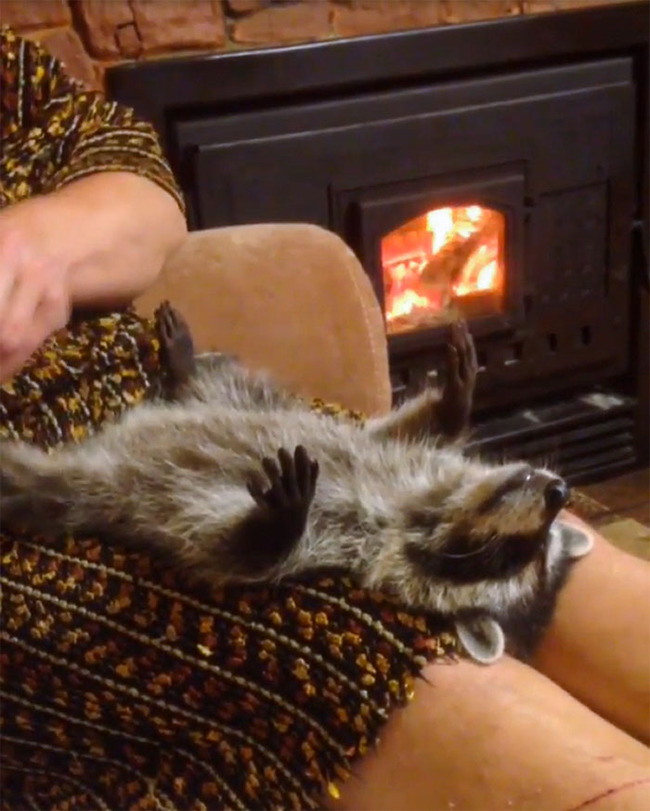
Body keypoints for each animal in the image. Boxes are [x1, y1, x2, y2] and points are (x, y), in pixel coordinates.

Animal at [0, 304, 592, 664]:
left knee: (48, 486)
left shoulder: (345, 542)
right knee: (225, 388)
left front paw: (279, 526)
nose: (558, 495)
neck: (418, 509)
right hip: (247, 405)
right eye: (532, 547)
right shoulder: (390, 456)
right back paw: (186, 366)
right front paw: (457, 397)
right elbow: (402, 430)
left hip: (98, 490)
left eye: (520, 557)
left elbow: (230, 553)